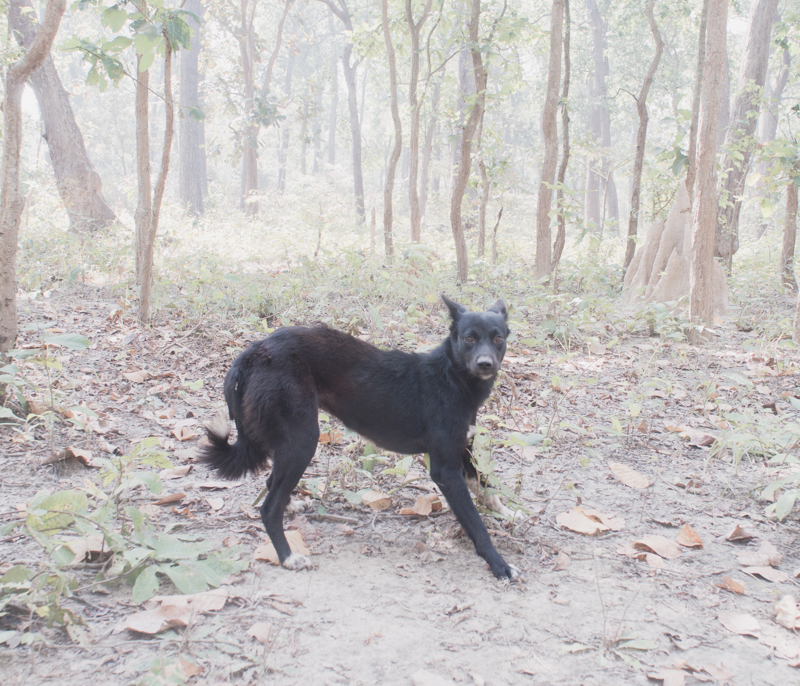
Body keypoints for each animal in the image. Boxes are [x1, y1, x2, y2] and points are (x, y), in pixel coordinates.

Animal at [201, 295, 521, 580]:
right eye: (469, 339)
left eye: (497, 338)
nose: (485, 364)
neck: (452, 377)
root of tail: (253, 352)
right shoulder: (445, 470)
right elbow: (476, 525)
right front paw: (499, 565)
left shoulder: (464, 455)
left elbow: (487, 488)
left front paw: (509, 513)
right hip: (304, 440)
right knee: (268, 509)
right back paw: (288, 556)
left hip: (292, 441)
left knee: (271, 484)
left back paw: (291, 506)